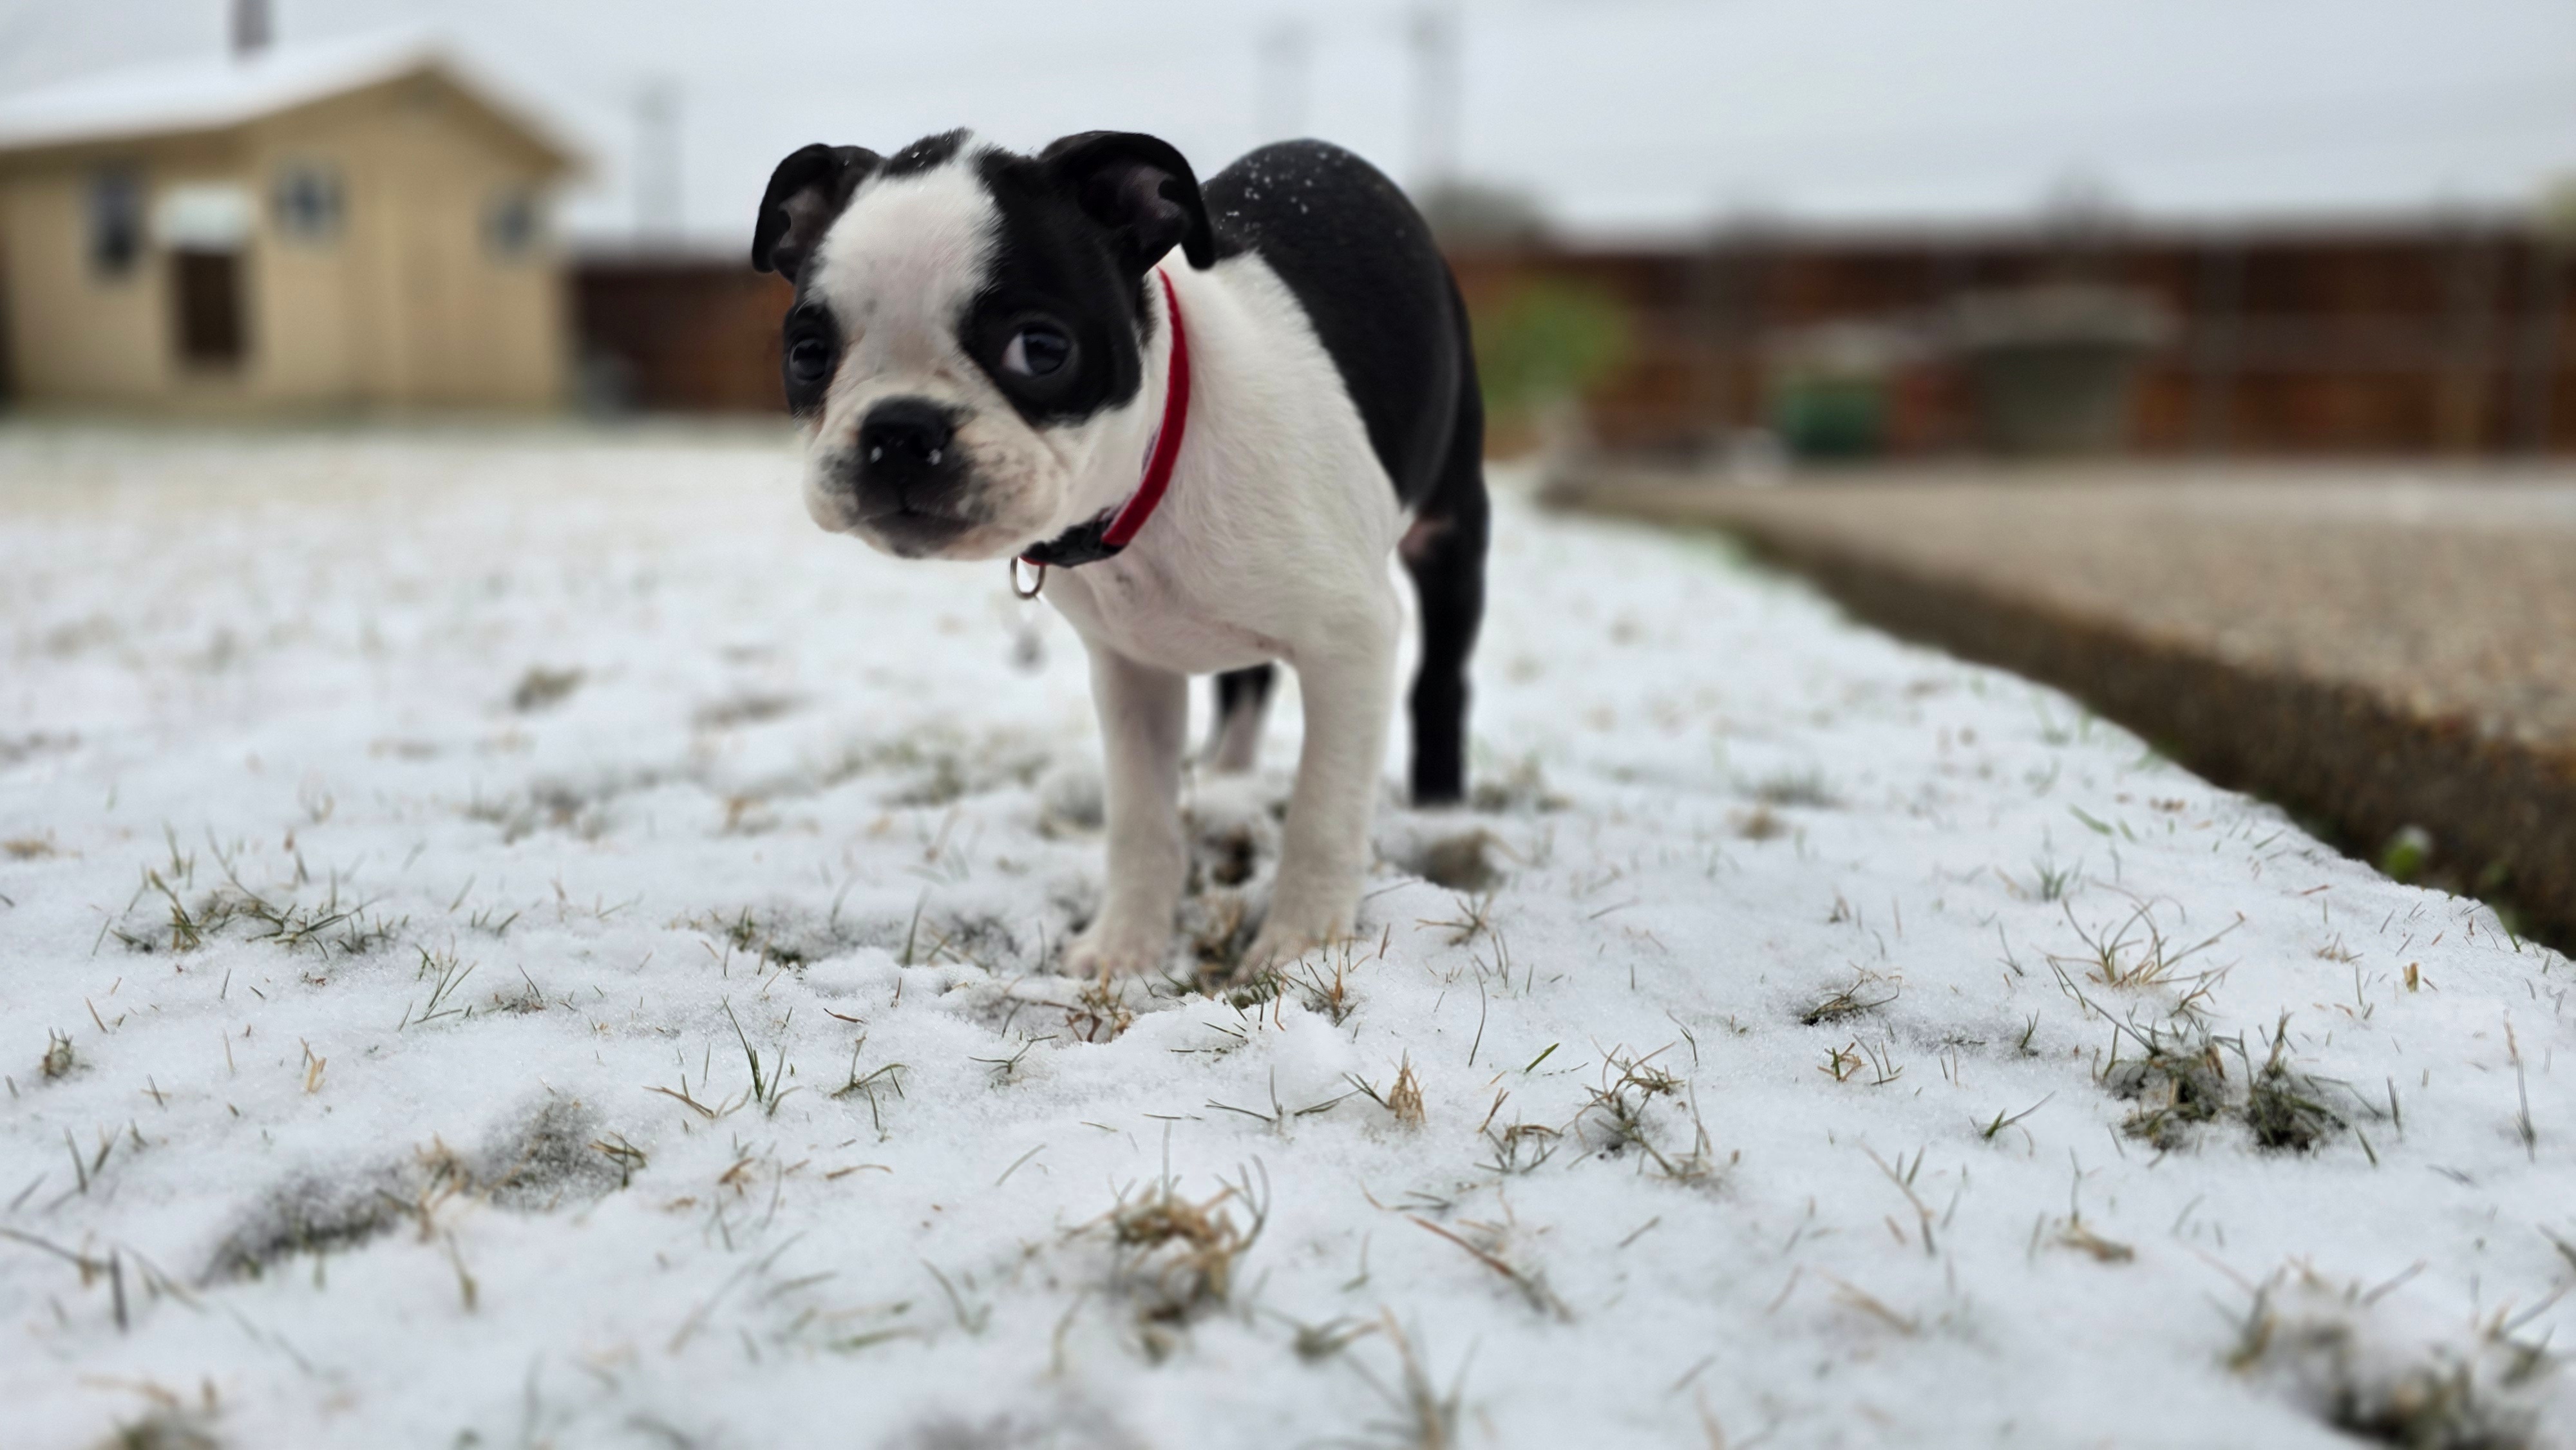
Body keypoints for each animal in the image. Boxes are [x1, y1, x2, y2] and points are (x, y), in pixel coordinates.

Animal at [752, 127, 1494, 974]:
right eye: (808, 355)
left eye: (1041, 349)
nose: (900, 429)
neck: (1147, 479)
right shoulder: (1131, 672)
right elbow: (1142, 819)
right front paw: (1122, 947)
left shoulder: (1350, 642)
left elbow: (1324, 810)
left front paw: (1298, 946)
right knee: (1246, 684)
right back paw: (1229, 782)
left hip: (1448, 523)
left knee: (1439, 678)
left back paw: (1439, 806)